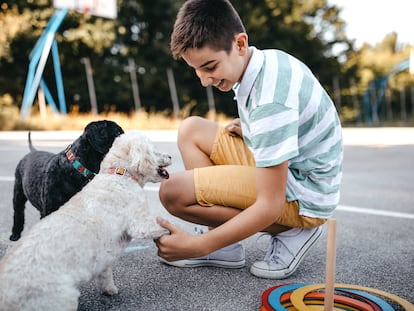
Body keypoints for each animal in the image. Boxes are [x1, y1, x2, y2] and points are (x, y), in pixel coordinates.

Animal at [0, 131, 171, 311]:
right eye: (154, 149)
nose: (170, 156)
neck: (119, 174)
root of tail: (7, 295)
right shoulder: (141, 223)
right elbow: (162, 227)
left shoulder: (105, 256)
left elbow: (105, 274)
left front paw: (109, 289)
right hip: (63, 297)